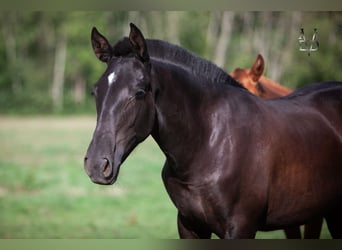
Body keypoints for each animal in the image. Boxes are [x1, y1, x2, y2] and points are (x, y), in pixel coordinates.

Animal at [84, 23, 342, 238]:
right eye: (96, 91)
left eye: (138, 92)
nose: (97, 165)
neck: (209, 143)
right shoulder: (189, 225)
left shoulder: (241, 228)